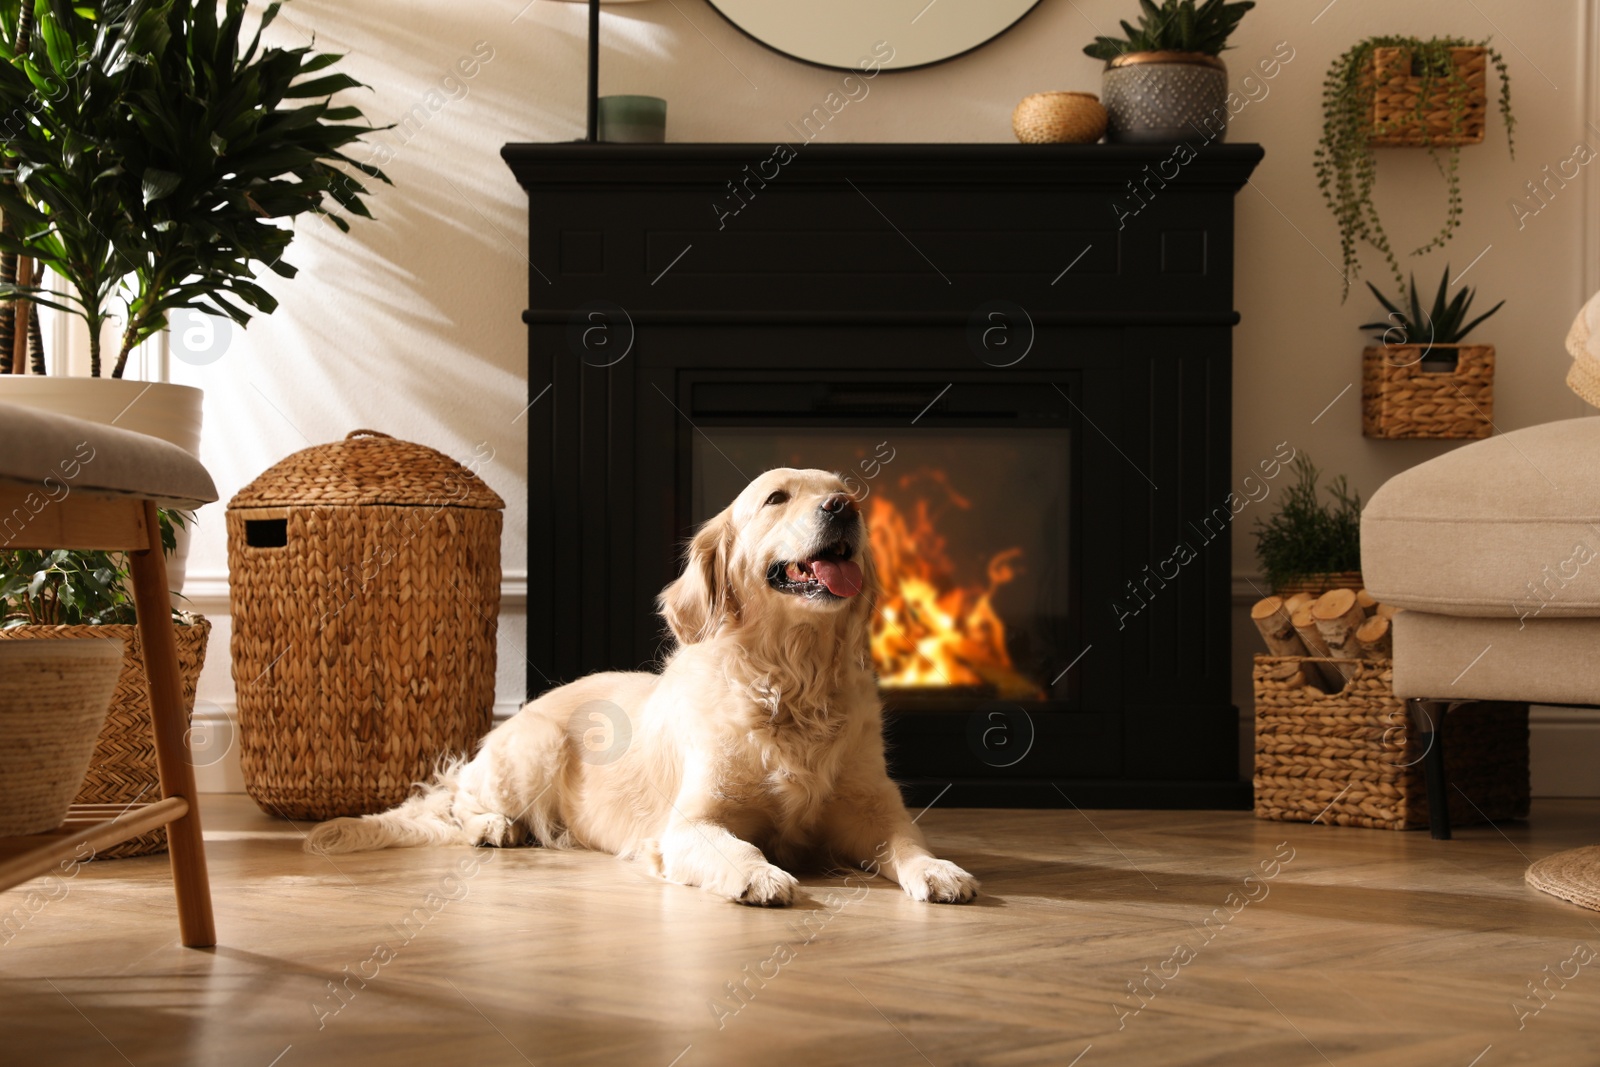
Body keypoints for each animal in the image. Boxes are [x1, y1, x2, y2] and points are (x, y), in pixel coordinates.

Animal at [300, 470, 972, 908]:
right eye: (776, 497)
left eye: (846, 490)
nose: (845, 507)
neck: (792, 679)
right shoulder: (690, 824)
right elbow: (741, 850)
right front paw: (760, 877)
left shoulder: (871, 807)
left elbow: (907, 840)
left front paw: (940, 869)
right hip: (534, 747)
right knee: (456, 801)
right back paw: (495, 826)